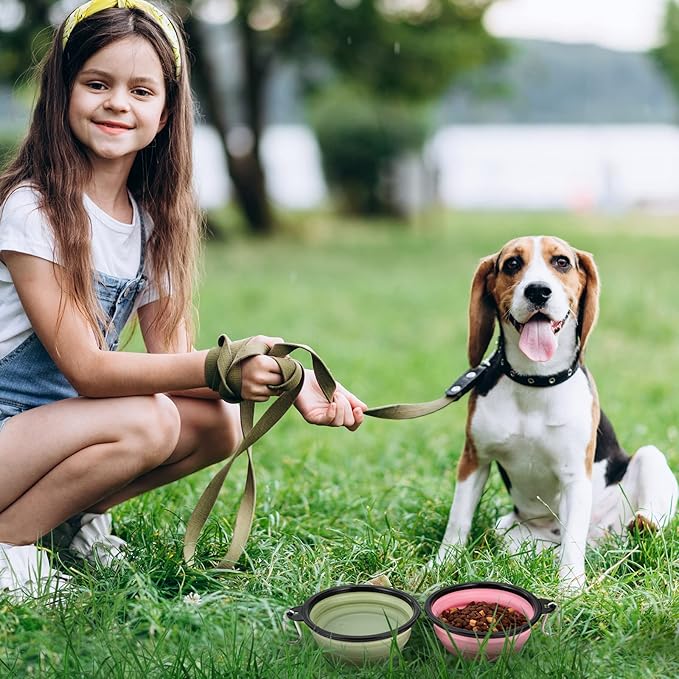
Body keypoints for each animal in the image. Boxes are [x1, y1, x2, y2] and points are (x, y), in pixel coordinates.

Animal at [438, 236, 676, 588]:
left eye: (561, 262)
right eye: (512, 264)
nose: (538, 291)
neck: (535, 379)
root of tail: (601, 540)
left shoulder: (575, 475)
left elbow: (572, 540)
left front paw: (570, 588)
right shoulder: (473, 460)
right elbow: (457, 522)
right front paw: (439, 567)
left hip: (649, 458)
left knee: (643, 524)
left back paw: (642, 525)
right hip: (505, 530)